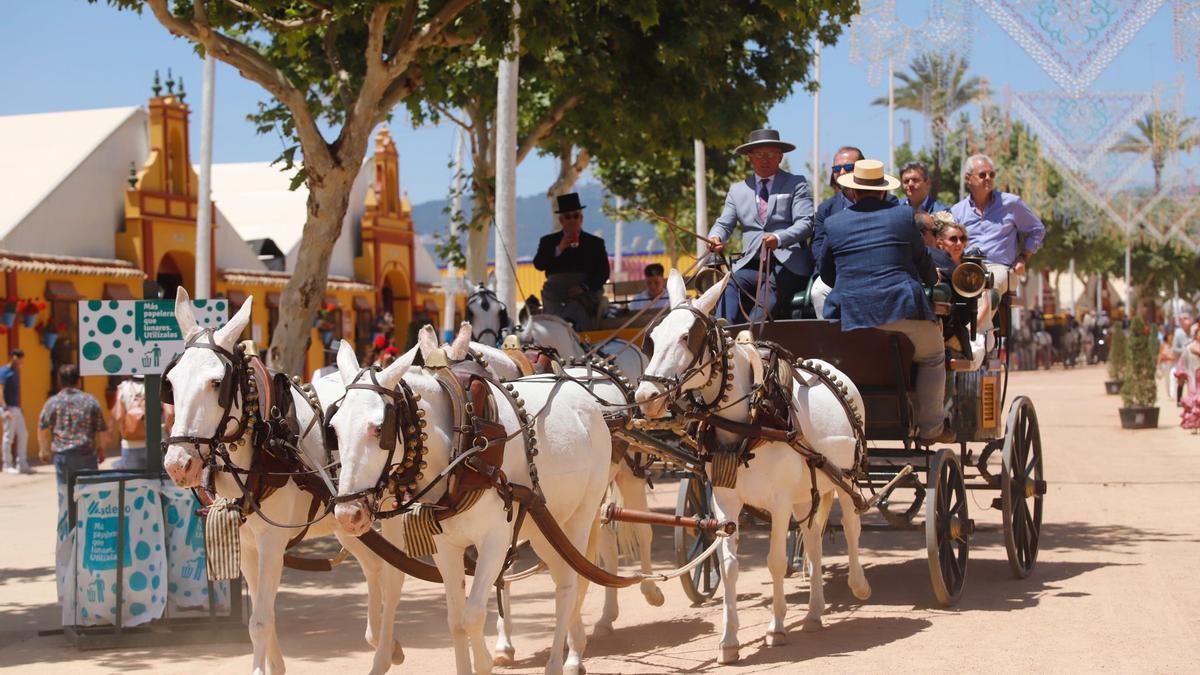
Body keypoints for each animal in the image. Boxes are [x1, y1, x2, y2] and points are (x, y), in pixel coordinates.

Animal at [164, 285, 408, 667]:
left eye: (217, 382)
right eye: (171, 382)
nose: (178, 463)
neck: (265, 436)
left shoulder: (271, 542)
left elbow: (261, 622)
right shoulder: (248, 543)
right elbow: (262, 618)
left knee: (395, 575)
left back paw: (383, 646)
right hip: (348, 519)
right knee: (374, 566)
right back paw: (381, 639)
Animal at [328, 329, 609, 672]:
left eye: (380, 429)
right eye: (334, 428)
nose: (348, 514)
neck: (463, 443)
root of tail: (585, 398)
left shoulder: (495, 540)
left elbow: (473, 615)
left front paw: (485, 662)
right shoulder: (445, 546)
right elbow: (456, 620)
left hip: (580, 517)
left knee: (569, 584)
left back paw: (561, 661)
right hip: (544, 526)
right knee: (561, 577)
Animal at [633, 269, 868, 662]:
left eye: (686, 337)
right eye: (652, 339)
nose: (646, 397)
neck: (751, 419)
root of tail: (829, 368)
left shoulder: (780, 503)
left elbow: (775, 561)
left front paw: (776, 628)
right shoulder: (724, 501)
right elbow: (729, 566)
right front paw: (729, 641)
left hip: (845, 478)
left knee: (852, 524)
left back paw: (858, 584)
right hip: (807, 493)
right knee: (813, 538)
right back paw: (815, 612)